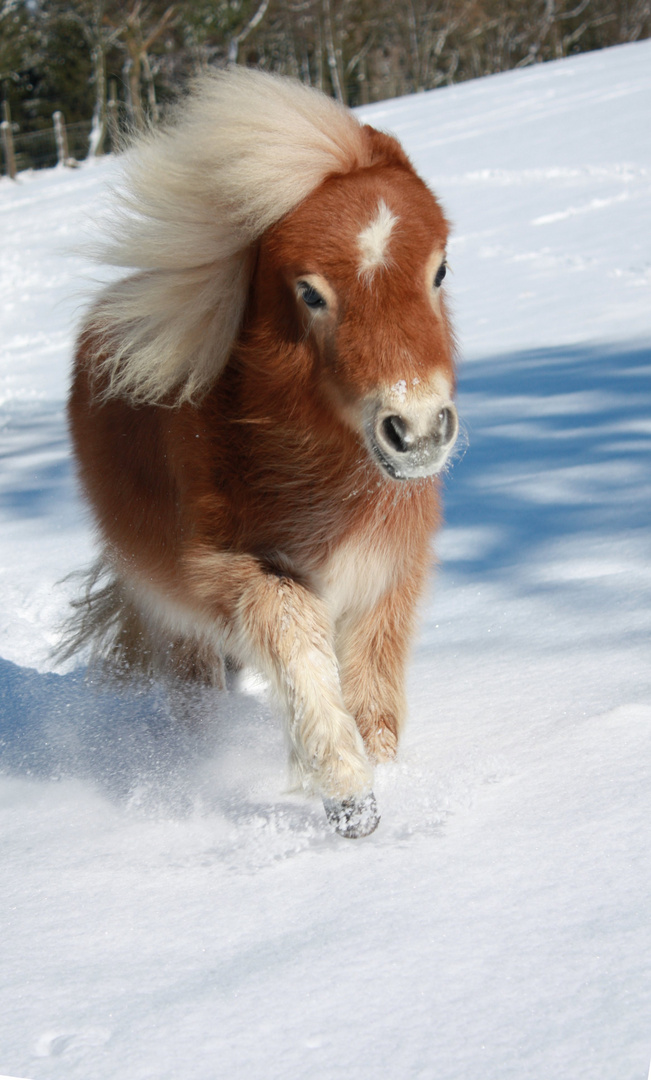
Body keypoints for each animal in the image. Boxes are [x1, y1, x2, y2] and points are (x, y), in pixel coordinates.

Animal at [65, 67, 459, 838]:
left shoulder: (386, 572)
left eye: (439, 271)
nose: (418, 429)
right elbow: (294, 634)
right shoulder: (226, 573)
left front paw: (380, 777)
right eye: (308, 292)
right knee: (196, 698)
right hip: (172, 618)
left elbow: (373, 692)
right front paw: (347, 795)